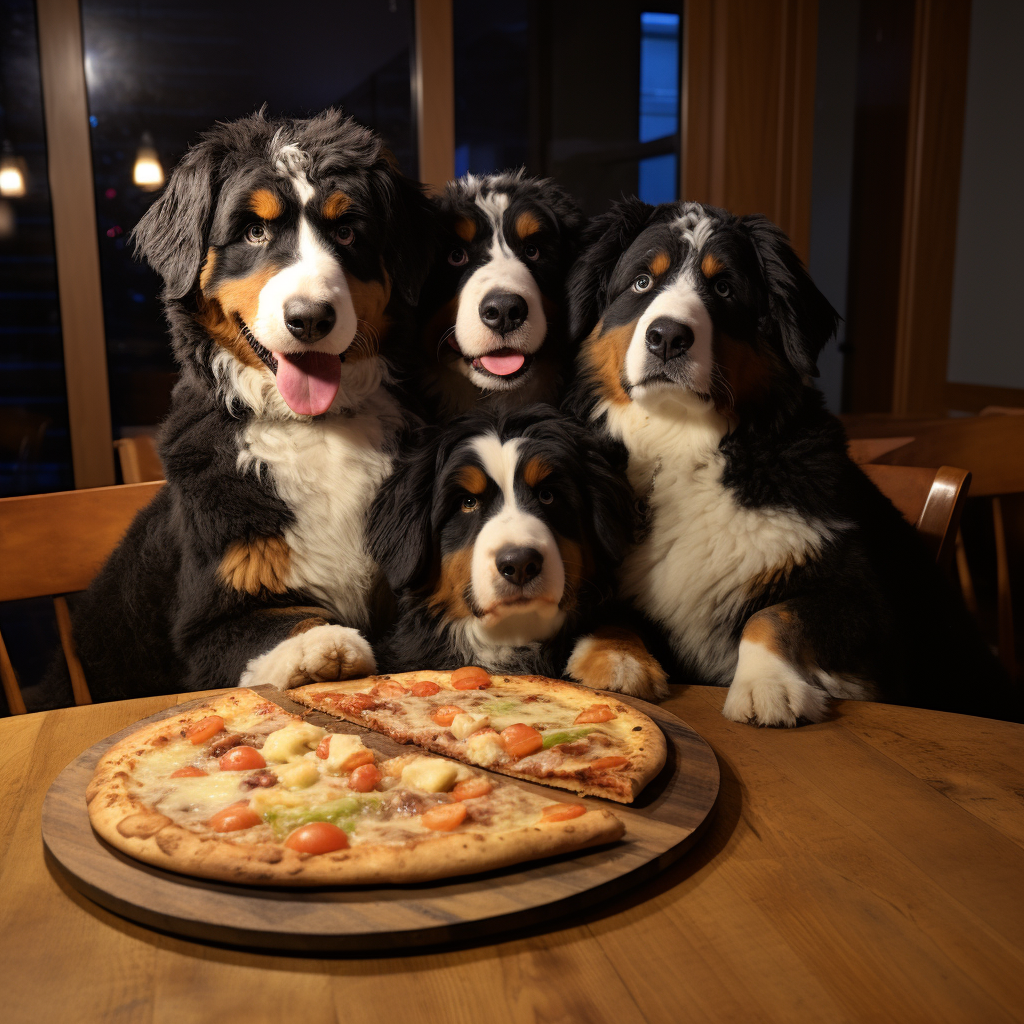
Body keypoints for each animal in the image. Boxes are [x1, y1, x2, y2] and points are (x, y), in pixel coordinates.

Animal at [52, 112, 436, 704]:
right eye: (255, 231)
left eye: (347, 231)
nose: (310, 317)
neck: (314, 429)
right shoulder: (215, 618)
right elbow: (281, 624)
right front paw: (319, 646)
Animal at [569, 199, 1015, 724]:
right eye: (641, 282)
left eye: (724, 287)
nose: (667, 337)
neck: (683, 442)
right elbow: (612, 612)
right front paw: (616, 659)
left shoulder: (858, 596)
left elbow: (774, 615)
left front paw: (767, 686)